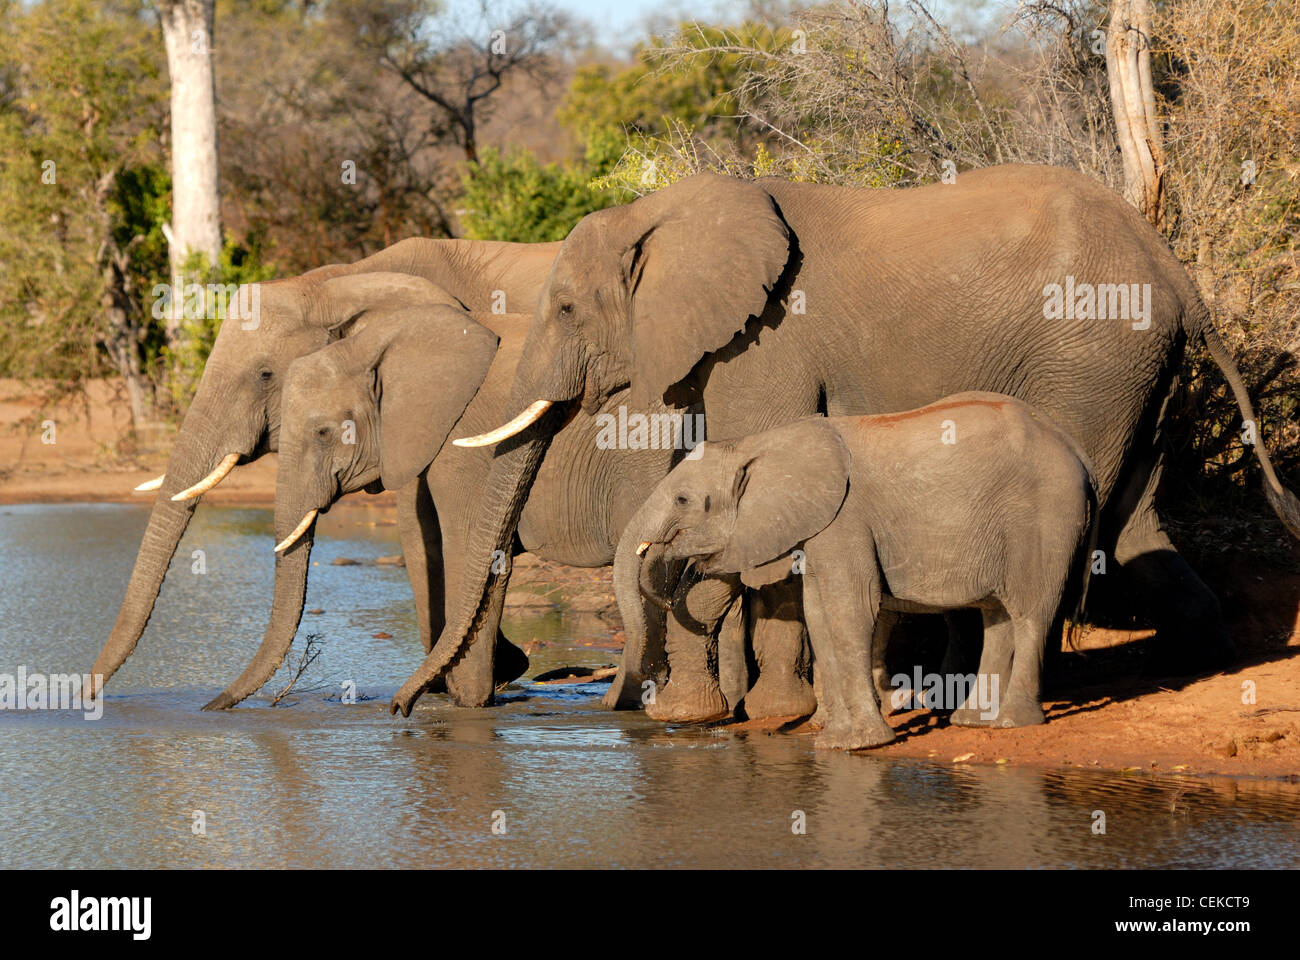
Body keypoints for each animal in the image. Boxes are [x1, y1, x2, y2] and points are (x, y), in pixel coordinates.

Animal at [87, 237, 561, 704]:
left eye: (265, 375)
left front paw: (469, 679)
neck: (336, 285)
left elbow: (419, 527)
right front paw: (497, 670)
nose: (87, 695)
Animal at [614, 395, 1098, 749]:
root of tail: (1077, 449)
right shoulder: (820, 528)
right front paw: (833, 742)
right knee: (997, 616)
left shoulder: (845, 519)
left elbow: (851, 610)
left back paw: (1011, 724)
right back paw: (974, 722)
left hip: (1046, 518)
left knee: (1030, 612)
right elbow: (818, 614)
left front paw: (860, 745)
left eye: (682, 500)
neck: (756, 445)